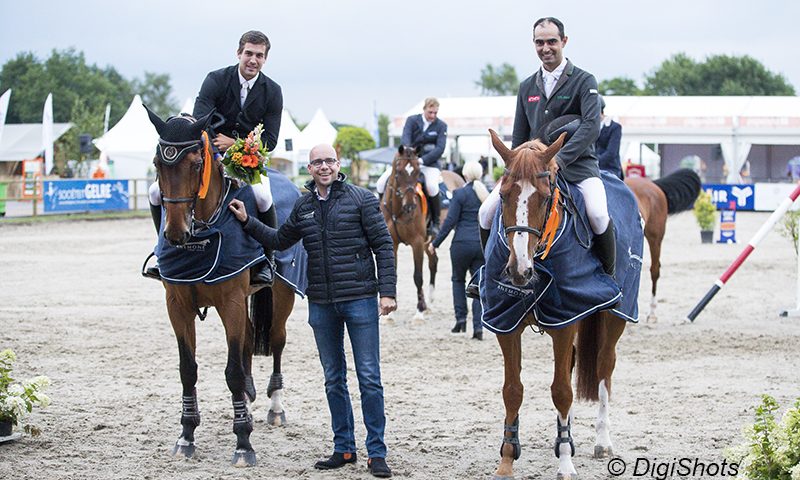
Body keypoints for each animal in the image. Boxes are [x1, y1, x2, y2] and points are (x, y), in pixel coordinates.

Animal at [145, 108, 296, 464]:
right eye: (158, 163)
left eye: (196, 163)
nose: (175, 234)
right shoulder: (178, 306)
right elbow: (188, 369)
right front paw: (186, 436)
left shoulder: (231, 303)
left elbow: (233, 372)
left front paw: (243, 443)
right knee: (251, 337)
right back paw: (251, 400)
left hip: (282, 293)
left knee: (276, 340)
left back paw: (275, 407)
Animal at [482, 130, 644, 480]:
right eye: (503, 195)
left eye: (545, 198)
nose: (519, 271)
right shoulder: (505, 323)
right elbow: (512, 389)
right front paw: (507, 459)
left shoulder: (565, 321)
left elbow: (561, 391)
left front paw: (566, 463)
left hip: (616, 315)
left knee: (604, 368)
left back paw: (601, 441)